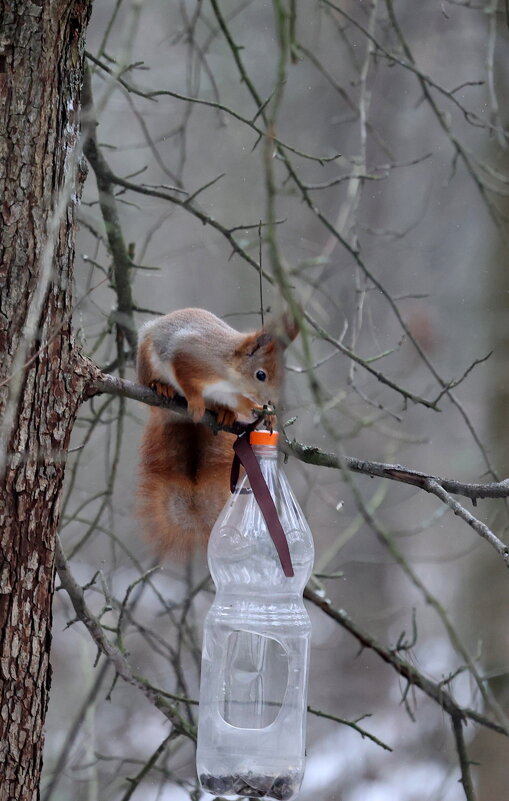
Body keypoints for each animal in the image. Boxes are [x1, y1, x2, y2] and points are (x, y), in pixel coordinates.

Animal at [137, 306, 300, 556]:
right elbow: (185, 378)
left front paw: (266, 415)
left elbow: (243, 404)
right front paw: (195, 403)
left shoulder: (230, 394)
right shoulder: (188, 356)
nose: (272, 401)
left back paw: (224, 414)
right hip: (147, 361)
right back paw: (162, 387)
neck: (230, 375)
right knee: (151, 383)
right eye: (260, 375)